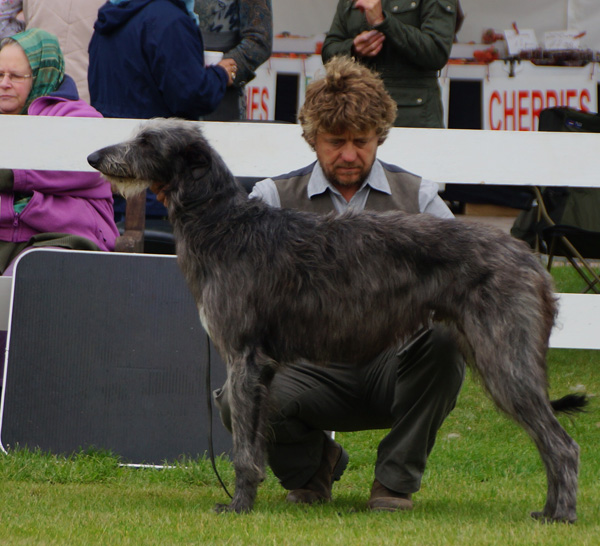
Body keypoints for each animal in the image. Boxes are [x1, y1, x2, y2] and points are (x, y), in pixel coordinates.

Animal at [89, 118, 584, 520]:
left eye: (147, 141)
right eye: (137, 134)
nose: (93, 157)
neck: (224, 224)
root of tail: (530, 259)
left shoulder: (244, 359)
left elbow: (244, 452)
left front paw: (238, 506)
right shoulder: (262, 369)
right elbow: (257, 441)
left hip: (504, 357)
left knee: (562, 444)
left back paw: (560, 515)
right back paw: (547, 509)